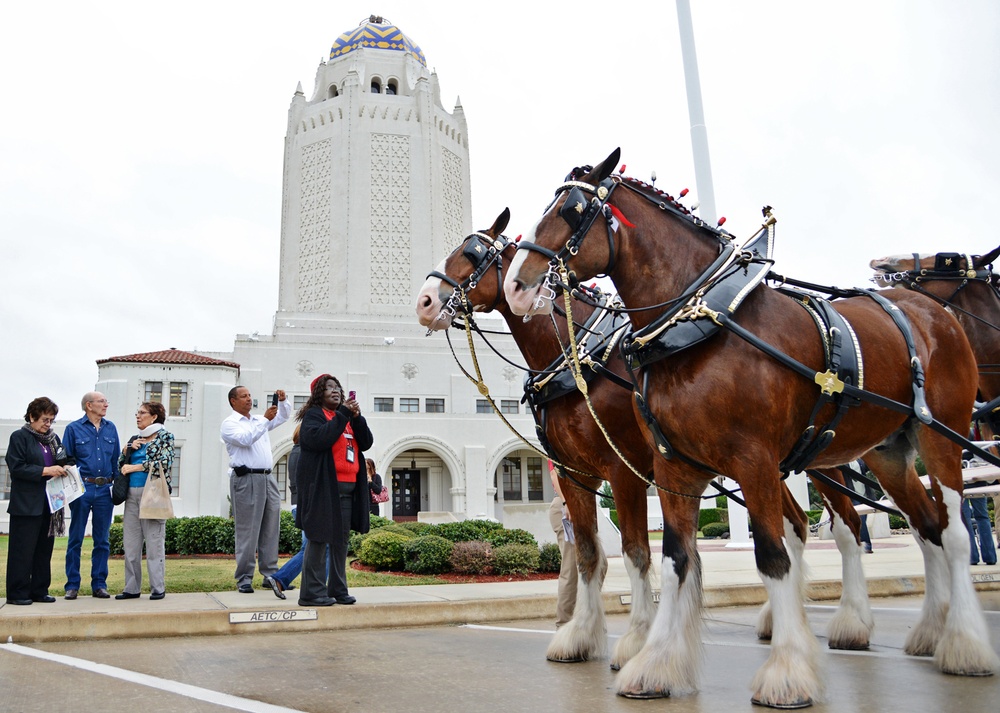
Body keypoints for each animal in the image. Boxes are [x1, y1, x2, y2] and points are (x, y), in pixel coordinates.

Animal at [414, 210, 656, 668]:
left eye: (471, 253)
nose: (424, 302)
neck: (580, 357)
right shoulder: (575, 474)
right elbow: (588, 554)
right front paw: (580, 636)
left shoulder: (624, 471)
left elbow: (636, 552)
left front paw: (637, 642)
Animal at [504, 150, 996, 708]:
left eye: (570, 209)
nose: (517, 284)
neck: (697, 320)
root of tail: (933, 312)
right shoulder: (672, 467)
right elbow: (675, 558)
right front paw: (654, 664)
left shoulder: (749, 460)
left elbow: (770, 555)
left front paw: (787, 672)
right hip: (885, 453)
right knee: (924, 525)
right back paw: (931, 631)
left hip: (937, 437)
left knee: (943, 532)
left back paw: (961, 643)